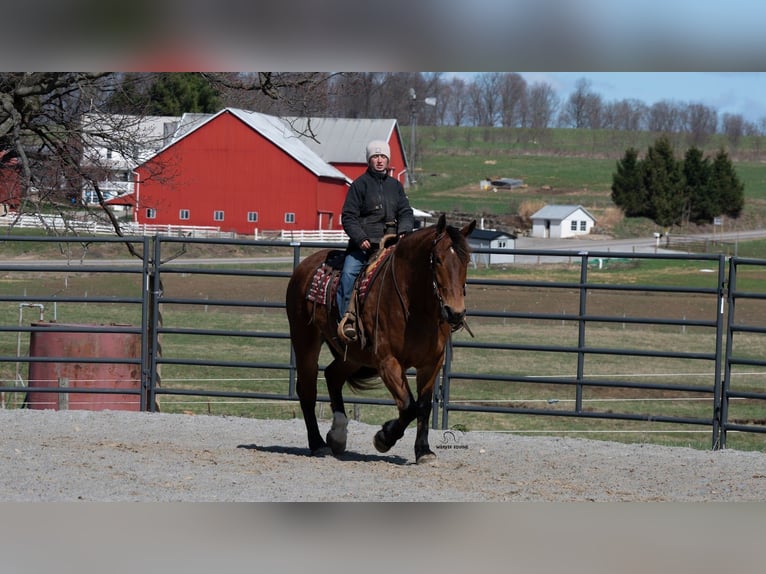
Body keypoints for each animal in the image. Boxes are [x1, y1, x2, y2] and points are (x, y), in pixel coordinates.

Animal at [285, 214, 476, 464]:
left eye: (466, 260)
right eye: (437, 259)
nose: (455, 312)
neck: (415, 306)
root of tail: (305, 267)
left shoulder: (432, 363)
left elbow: (423, 406)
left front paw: (423, 451)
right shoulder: (387, 361)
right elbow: (408, 406)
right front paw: (384, 438)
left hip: (353, 355)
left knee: (332, 376)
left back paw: (337, 436)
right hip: (305, 341)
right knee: (307, 390)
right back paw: (318, 444)